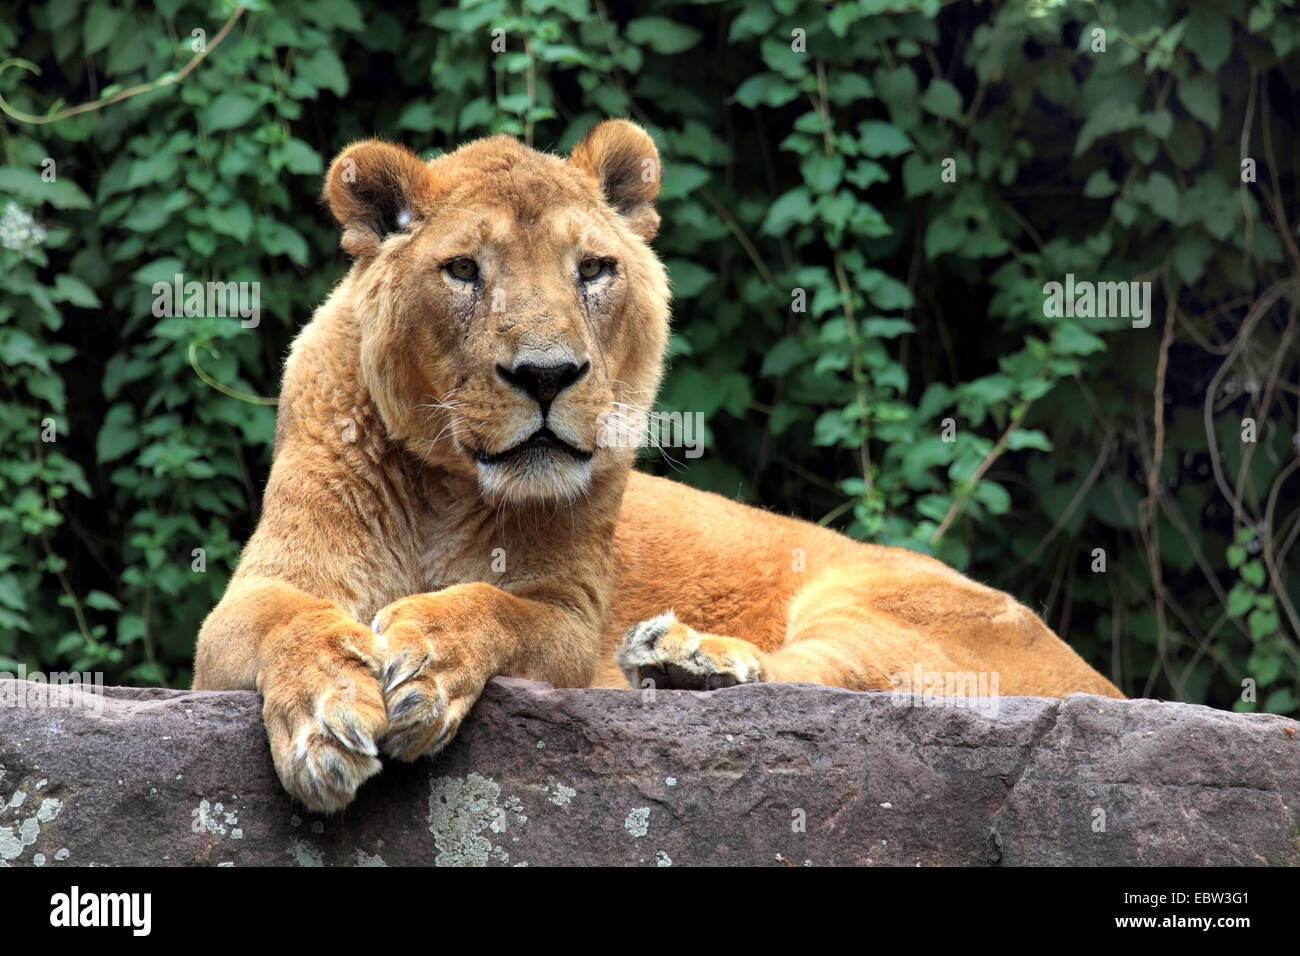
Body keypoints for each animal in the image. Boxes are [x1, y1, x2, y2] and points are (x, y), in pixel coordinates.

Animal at [193, 119, 1123, 813]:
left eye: (593, 270)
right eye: (462, 271)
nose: (546, 375)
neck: (445, 488)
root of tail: (1102, 686)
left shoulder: (570, 615)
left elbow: (498, 606)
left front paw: (425, 653)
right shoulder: (254, 596)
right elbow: (284, 622)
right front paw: (325, 718)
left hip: (883, 605)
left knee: (820, 686)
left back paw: (682, 658)